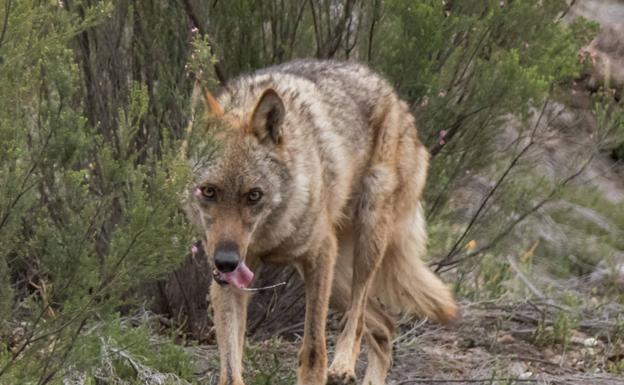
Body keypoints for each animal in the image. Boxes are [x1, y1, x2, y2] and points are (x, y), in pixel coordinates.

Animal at [183, 59, 456, 384]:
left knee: (358, 318)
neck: (269, 237)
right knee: (385, 326)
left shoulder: (319, 255)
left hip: (364, 244)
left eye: (253, 195)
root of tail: (396, 99)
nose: (225, 261)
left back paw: (343, 364)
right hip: (337, 281)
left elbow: (313, 352)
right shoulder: (230, 282)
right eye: (208, 191)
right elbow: (230, 369)